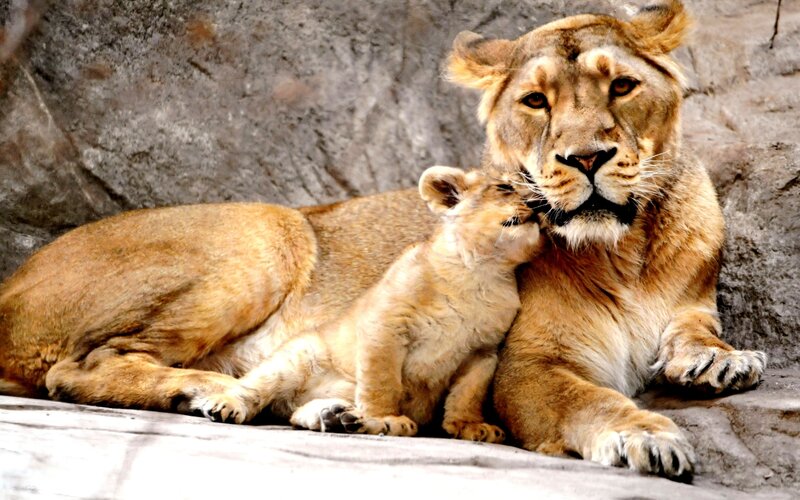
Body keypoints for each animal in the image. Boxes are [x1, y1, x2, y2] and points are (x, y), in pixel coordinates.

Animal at [192, 166, 540, 443]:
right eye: (505, 187)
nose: (539, 204)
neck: (480, 273)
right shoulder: (385, 323)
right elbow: (382, 380)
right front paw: (384, 417)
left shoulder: (483, 351)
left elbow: (469, 392)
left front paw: (469, 425)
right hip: (295, 356)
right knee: (253, 387)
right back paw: (227, 406)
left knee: (294, 414)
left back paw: (336, 416)